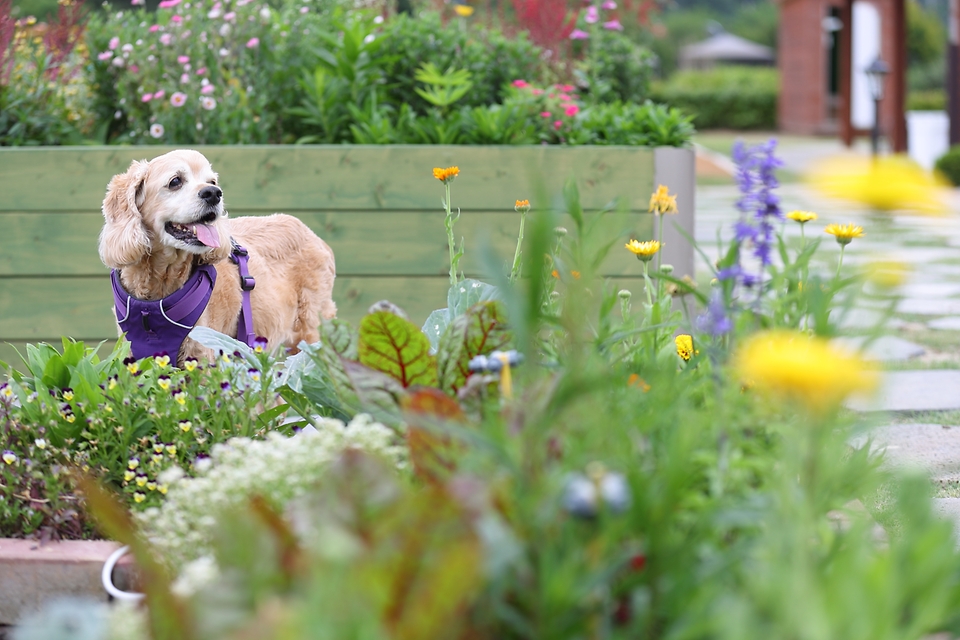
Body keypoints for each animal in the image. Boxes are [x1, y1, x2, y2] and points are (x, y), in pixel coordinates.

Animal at [98, 147, 338, 362]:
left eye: (212, 182)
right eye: (175, 181)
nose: (213, 194)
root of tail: (314, 236)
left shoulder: (200, 354)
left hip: (309, 333)